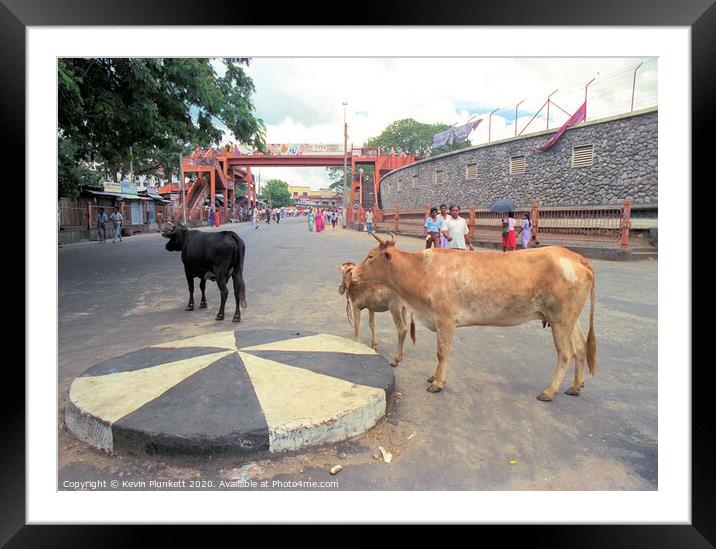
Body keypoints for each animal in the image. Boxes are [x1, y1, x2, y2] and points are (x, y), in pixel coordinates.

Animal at [350, 231, 596, 398]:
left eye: (370, 256)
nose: (352, 272)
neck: (421, 271)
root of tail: (575, 257)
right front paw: (434, 376)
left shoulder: (446, 319)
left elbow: (441, 352)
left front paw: (437, 383)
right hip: (569, 318)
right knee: (580, 347)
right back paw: (575, 386)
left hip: (560, 319)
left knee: (565, 353)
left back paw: (549, 391)